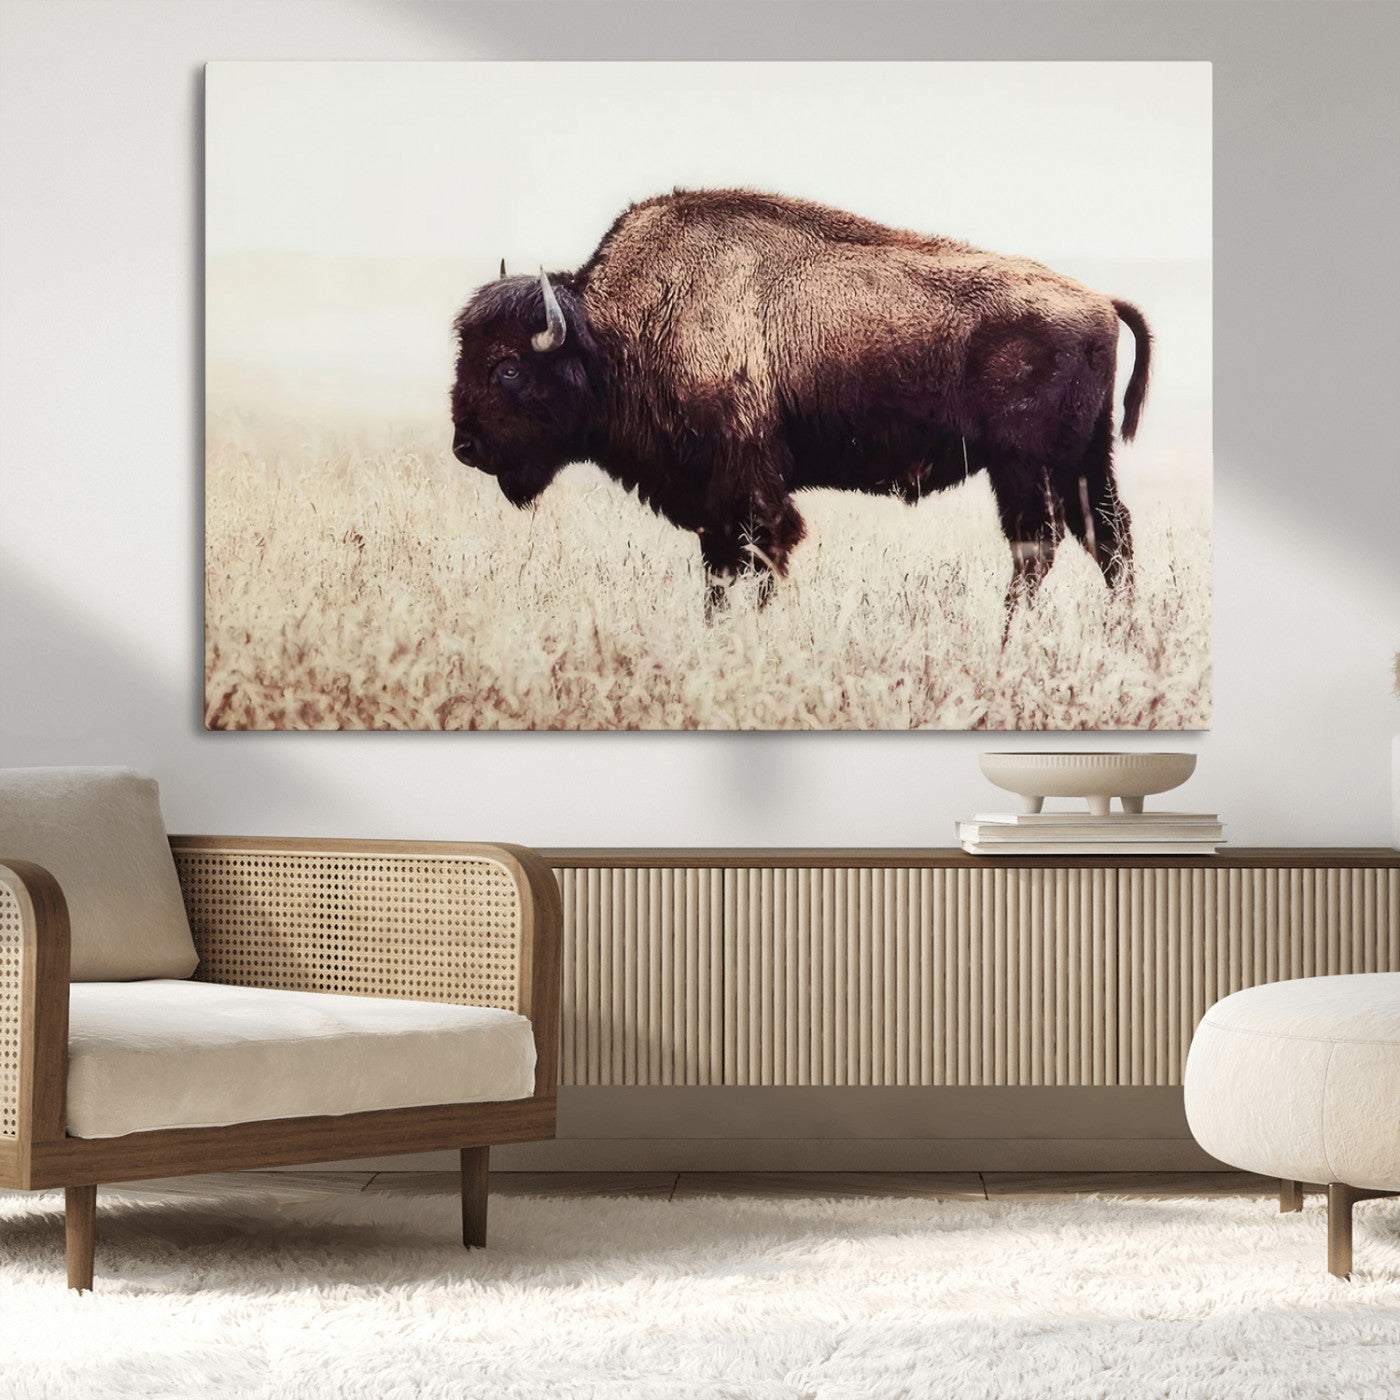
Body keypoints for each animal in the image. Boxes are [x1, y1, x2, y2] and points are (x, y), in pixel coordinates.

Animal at [451, 189, 1150, 618]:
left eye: (508, 367)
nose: (465, 447)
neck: (615, 331)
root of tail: (1100, 300)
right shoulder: (714, 504)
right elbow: (720, 572)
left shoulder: (749, 487)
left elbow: (762, 556)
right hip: (1084, 462)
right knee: (1107, 540)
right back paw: (1121, 636)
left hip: (1024, 467)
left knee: (1039, 546)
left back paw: (1007, 639)